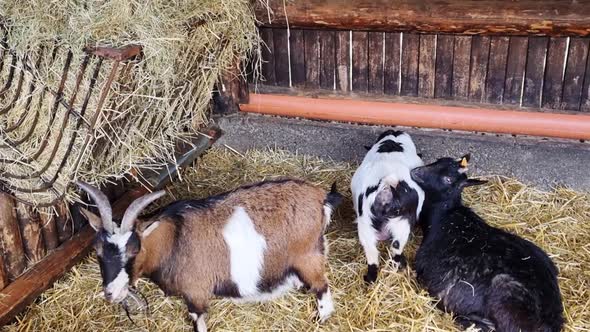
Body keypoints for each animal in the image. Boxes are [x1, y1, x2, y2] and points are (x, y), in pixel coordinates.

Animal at [76, 179, 344, 332]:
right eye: (98, 250)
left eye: (134, 249)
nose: (111, 293)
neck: (173, 239)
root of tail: (321, 198)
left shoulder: (195, 292)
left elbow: (198, 320)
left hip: (307, 257)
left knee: (322, 288)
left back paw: (320, 319)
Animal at [352, 130, 426, 282]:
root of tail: (385, 189)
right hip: (402, 224)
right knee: (396, 247)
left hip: (365, 227)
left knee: (372, 254)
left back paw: (369, 279)